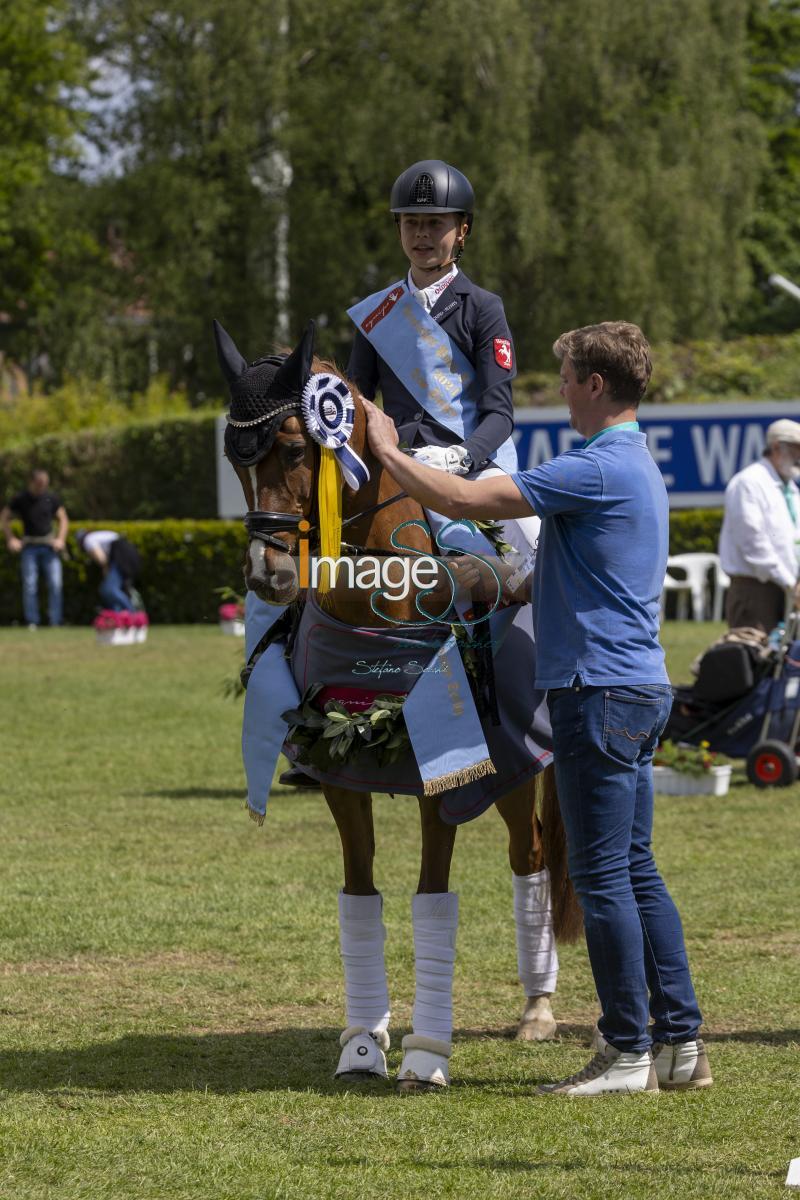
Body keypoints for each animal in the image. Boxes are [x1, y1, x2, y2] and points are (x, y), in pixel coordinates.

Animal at [217, 324, 582, 1094]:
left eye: (293, 448)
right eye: (235, 458)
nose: (267, 574)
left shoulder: (436, 773)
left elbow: (432, 901)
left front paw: (425, 1053)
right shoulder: (338, 771)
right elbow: (360, 899)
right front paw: (363, 1042)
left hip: (516, 765)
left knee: (529, 858)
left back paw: (536, 1009)